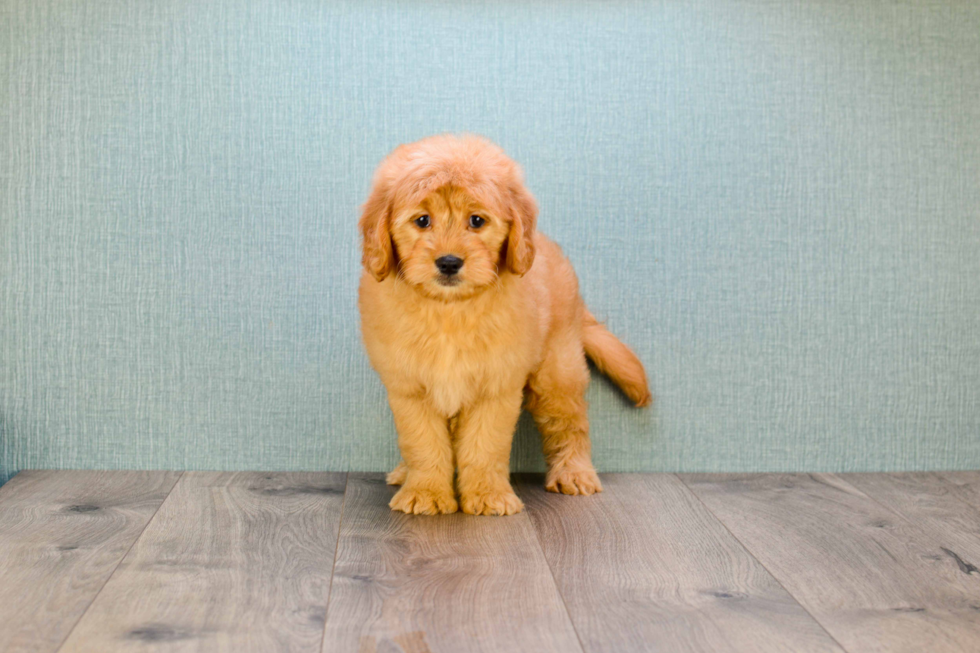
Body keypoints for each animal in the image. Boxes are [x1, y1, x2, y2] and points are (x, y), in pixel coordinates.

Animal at [358, 135, 652, 516]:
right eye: (422, 220)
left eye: (477, 221)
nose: (449, 262)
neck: (449, 311)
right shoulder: (410, 388)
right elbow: (422, 442)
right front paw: (426, 492)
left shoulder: (496, 385)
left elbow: (485, 444)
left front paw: (487, 495)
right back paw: (404, 473)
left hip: (557, 373)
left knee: (570, 424)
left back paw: (574, 472)